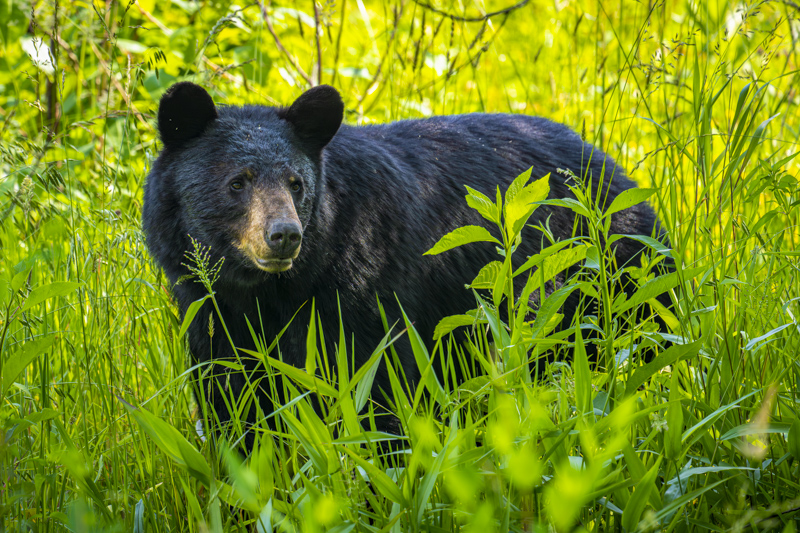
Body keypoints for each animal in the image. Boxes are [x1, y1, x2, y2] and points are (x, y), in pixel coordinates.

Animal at [142, 82, 667, 443]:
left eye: (296, 183)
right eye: (238, 181)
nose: (284, 235)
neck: (270, 290)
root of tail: (612, 165)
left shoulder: (363, 287)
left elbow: (374, 389)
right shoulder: (210, 312)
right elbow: (233, 401)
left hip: (607, 272)